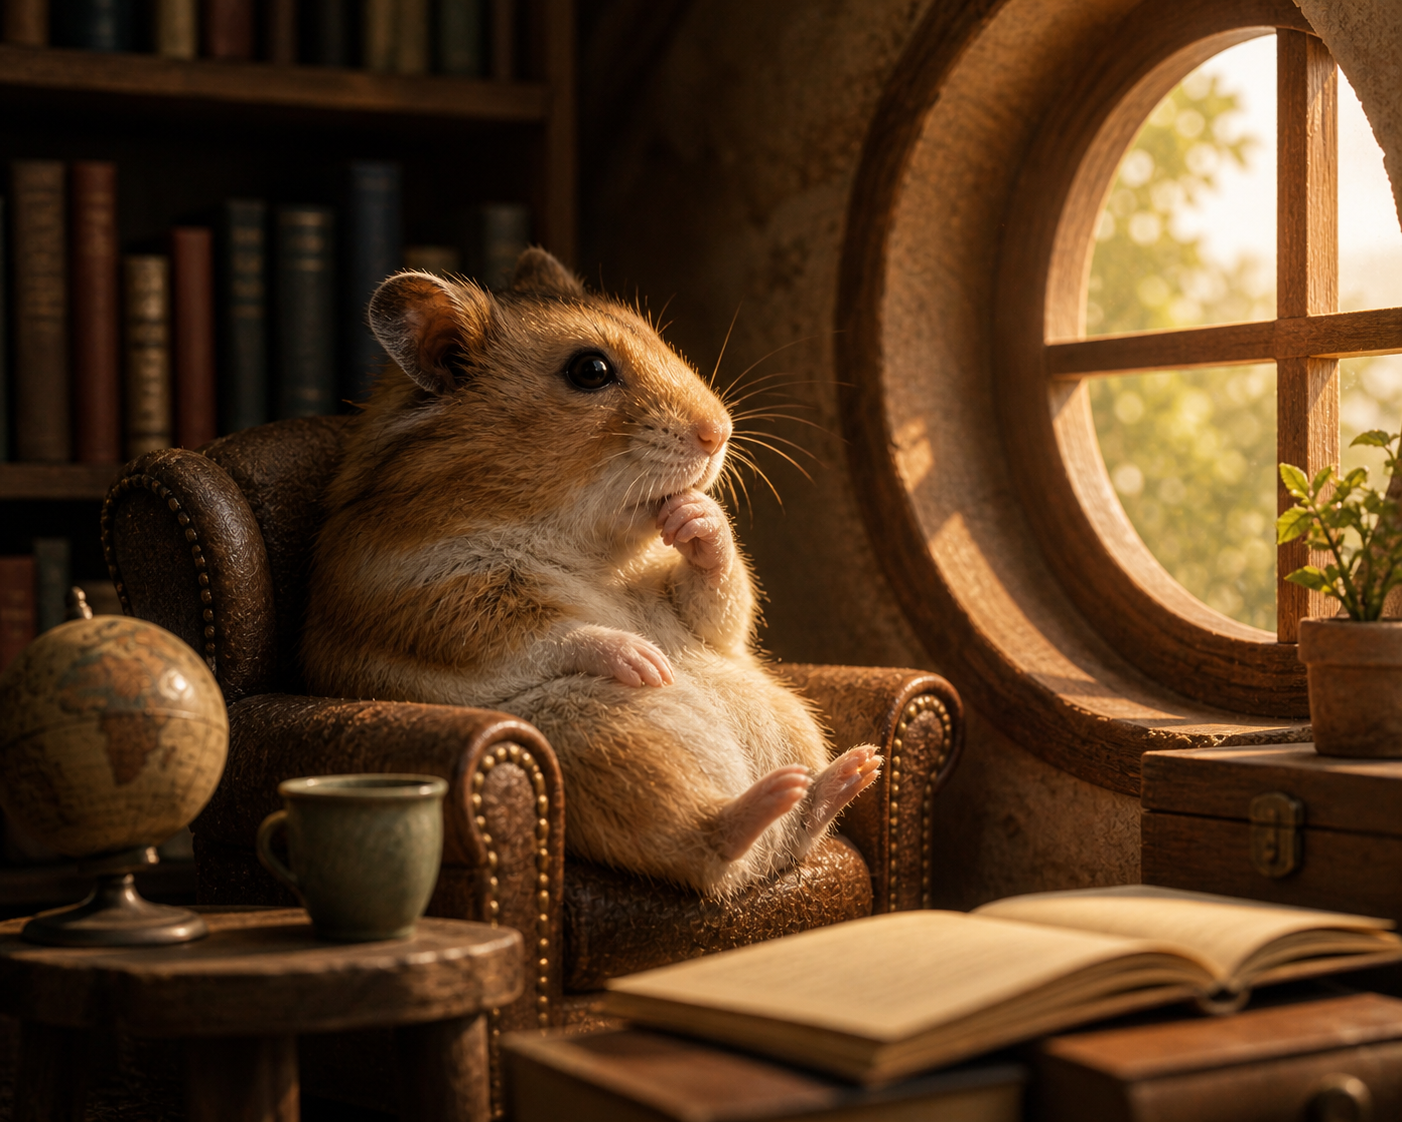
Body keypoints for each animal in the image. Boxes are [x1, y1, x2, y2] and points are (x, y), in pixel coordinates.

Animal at [301, 249, 880, 895]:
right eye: (591, 370)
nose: (719, 434)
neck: (578, 534)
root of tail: (762, 867)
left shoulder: (684, 601)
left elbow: (718, 597)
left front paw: (695, 516)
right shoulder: (426, 595)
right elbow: (550, 632)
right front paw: (648, 661)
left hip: (790, 717)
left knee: (792, 832)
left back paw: (852, 771)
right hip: (604, 741)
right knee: (704, 844)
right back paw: (776, 797)